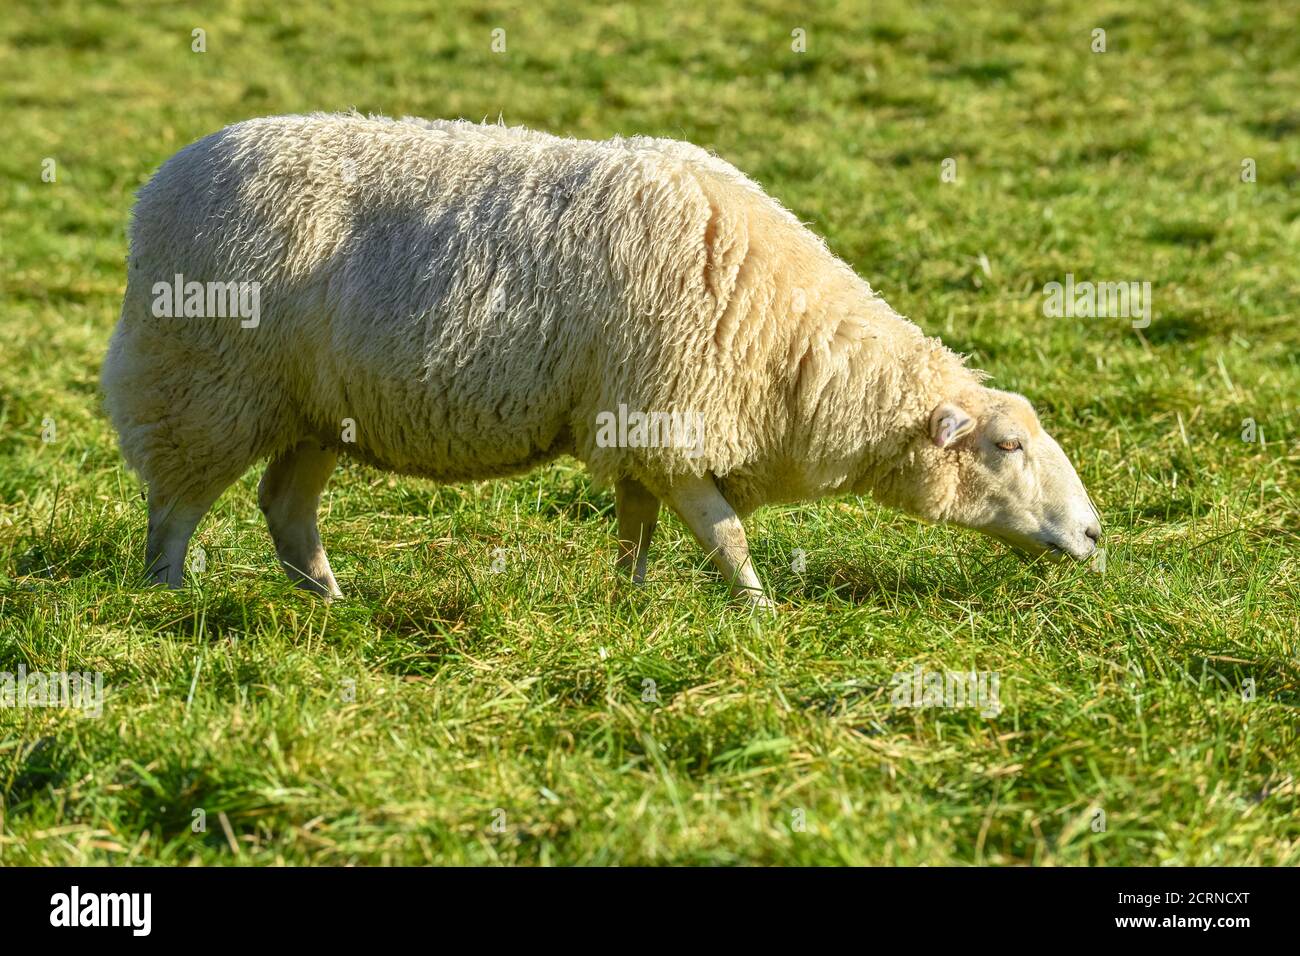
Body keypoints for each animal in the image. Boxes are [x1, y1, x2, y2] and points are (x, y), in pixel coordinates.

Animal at [101, 112, 1101, 607]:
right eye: (1008, 447)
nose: (1096, 537)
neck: (795, 348)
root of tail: (164, 179)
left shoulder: (642, 430)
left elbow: (639, 529)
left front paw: (632, 604)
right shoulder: (667, 418)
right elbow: (725, 533)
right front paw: (759, 614)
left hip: (315, 405)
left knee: (284, 508)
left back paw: (330, 601)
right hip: (200, 378)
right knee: (175, 501)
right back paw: (168, 595)